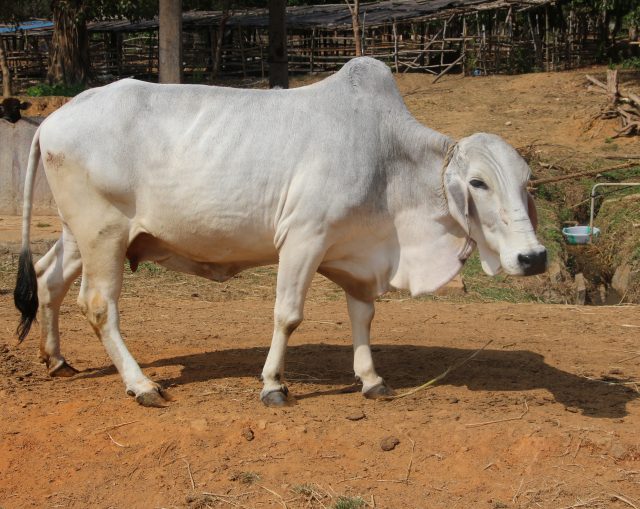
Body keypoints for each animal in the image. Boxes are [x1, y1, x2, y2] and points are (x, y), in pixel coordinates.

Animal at [15, 57, 544, 406]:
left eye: (526, 182)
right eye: (478, 182)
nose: (534, 257)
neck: (388, 159)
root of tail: (55, 118)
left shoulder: (354, 253)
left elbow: (363, 315)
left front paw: (371, 379)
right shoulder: (303, 238)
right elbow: (288, 315)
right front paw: (273, 384)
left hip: (80, 234)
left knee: (47, 279)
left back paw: (56, 359)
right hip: (102, 232)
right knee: (98, 304)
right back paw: (141, 384)